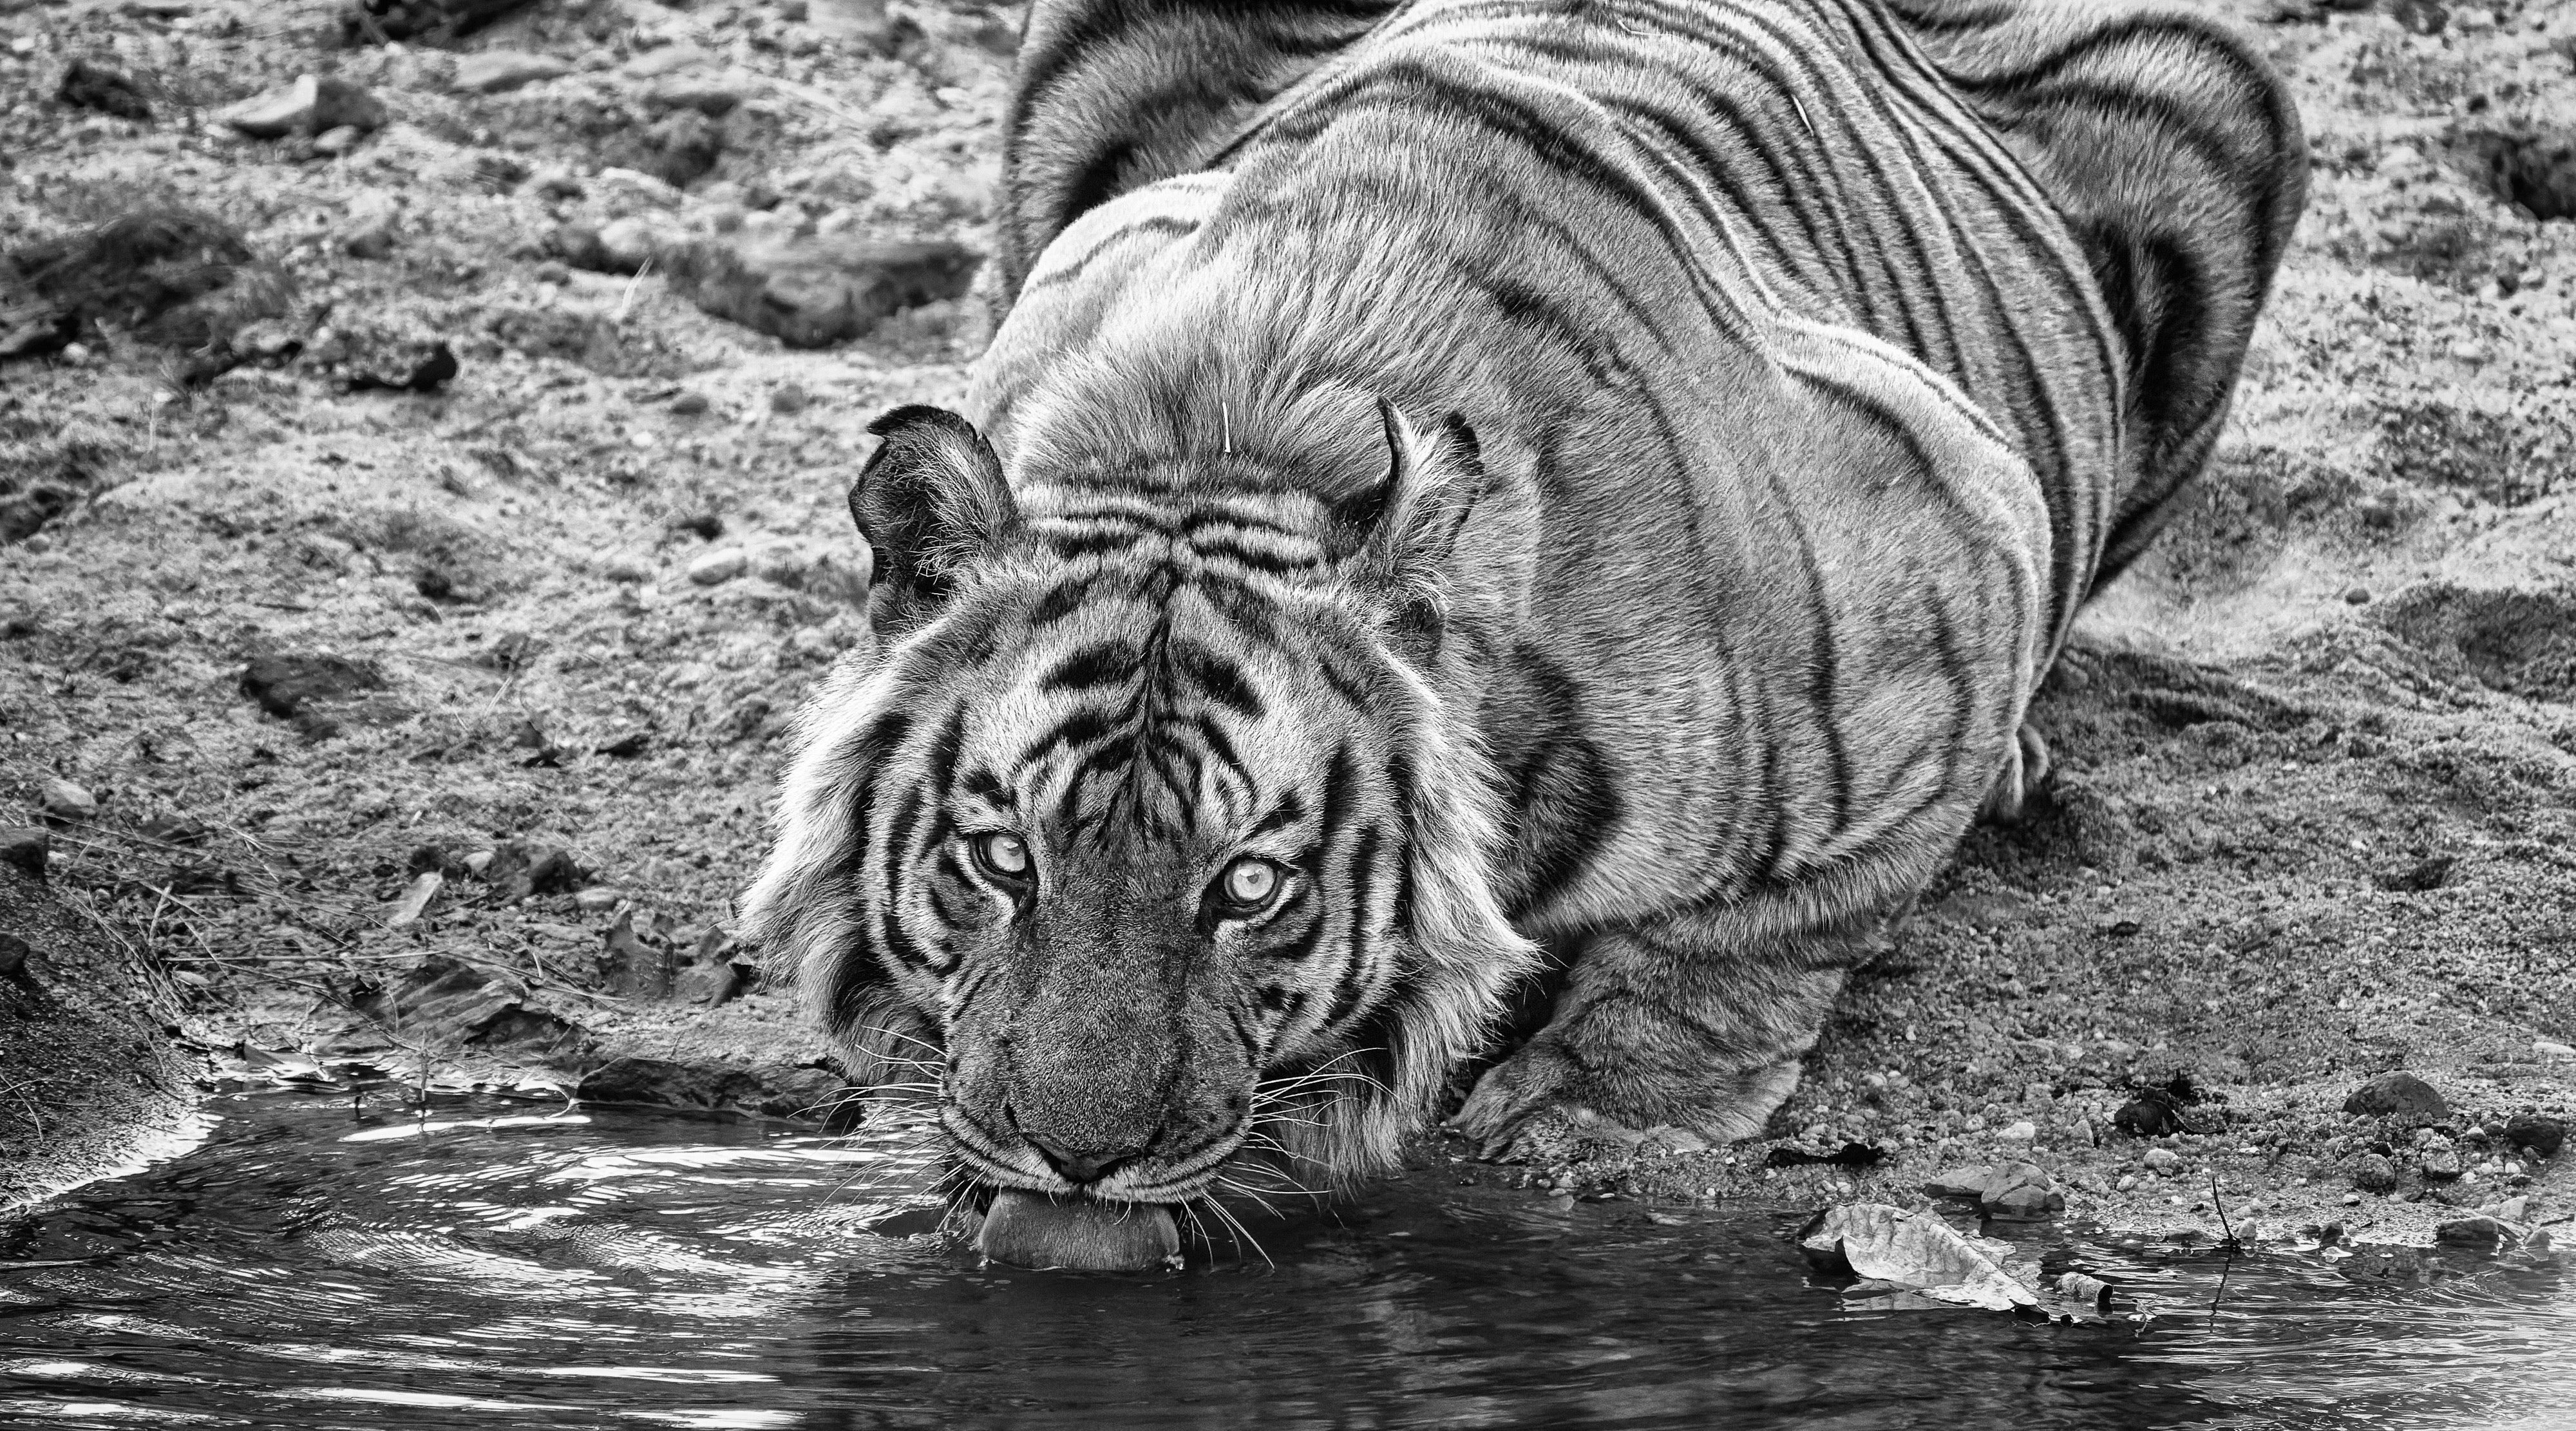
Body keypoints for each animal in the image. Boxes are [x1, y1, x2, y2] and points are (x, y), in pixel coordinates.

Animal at [742, 0, 2305, 1241]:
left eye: (1250, 885)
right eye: (1001, 858)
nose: (1078, 1159)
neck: (1222, 435)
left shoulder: (1960, 537)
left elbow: (1772, 931)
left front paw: (1588, 1112)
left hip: (2217, 92)